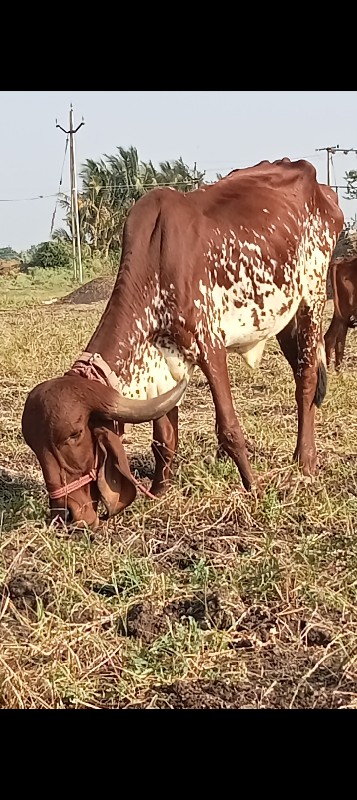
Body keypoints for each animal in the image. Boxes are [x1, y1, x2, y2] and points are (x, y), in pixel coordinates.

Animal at [20, 156, 344, 532]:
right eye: (34, 448)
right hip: (284, 318)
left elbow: (229, 428)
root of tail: (318, 185)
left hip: (311, 299)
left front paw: (254, 489)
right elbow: (163, 440)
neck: (156, 265)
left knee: (306, 380)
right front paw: (161, 491)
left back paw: (304, 463)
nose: (67, 517)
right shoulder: (162, 366)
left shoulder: (209, 345)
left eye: (73, 436)